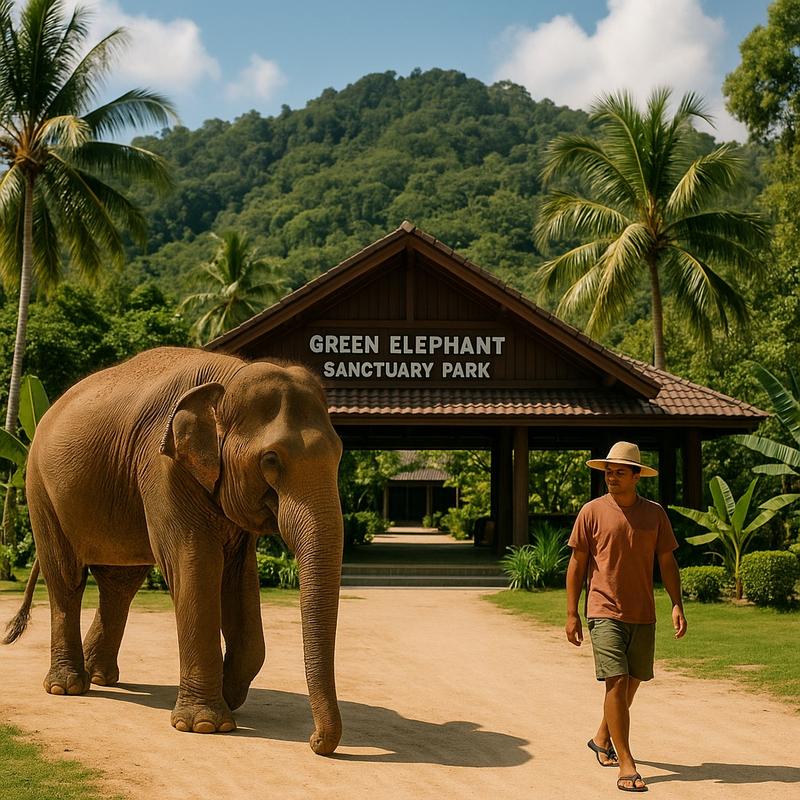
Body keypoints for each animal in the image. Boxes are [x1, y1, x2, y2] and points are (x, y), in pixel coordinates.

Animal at [3, 347, 344, 755]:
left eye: (339, 454)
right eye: (271, 459)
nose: (315, 742)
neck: (229, 377)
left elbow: (239, 577)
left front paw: (228, 700)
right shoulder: (162, 464)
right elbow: (195, 561)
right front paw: (205, 726)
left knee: (119, 584)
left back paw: (100, 676)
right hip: (39, 488)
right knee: (66, 578)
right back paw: (68, 687)